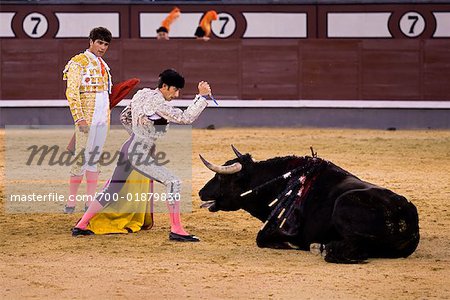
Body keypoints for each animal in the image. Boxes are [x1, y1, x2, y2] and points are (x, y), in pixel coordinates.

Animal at [199, 146, 420, 264]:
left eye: (221, 177)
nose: (201, 192)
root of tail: (405, 216)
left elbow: (261, 239)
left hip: (343, 207)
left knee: (356, 248)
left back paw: (320, 247)